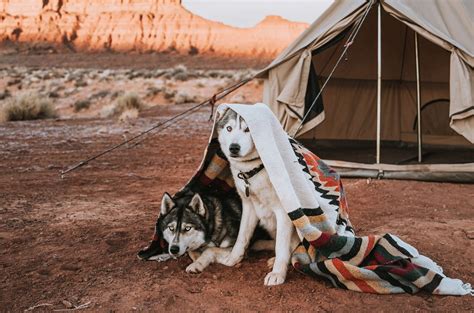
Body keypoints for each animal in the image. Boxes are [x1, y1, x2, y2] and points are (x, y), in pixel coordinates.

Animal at [216, 108, 298, 284]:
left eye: (248, 129)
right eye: (229, 128)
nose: (234, 147)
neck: (254, 169)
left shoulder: (285, 212)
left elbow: (281, 246)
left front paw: (278, 274)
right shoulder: (248, 206)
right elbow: (242, 236)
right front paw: (233, 258)